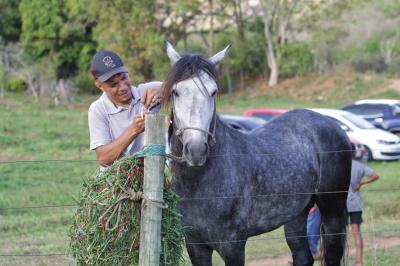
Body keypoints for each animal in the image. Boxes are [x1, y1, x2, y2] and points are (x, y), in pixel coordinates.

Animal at [161, 42, 352, 266]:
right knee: (303, 256)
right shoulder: (195, 246)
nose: (196, 150)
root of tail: (336, 127)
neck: (200, 184)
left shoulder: (233, 246)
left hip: (333, 211)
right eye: (176, 92)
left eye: (213, 92)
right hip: (296, 214)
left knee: (332, 254)